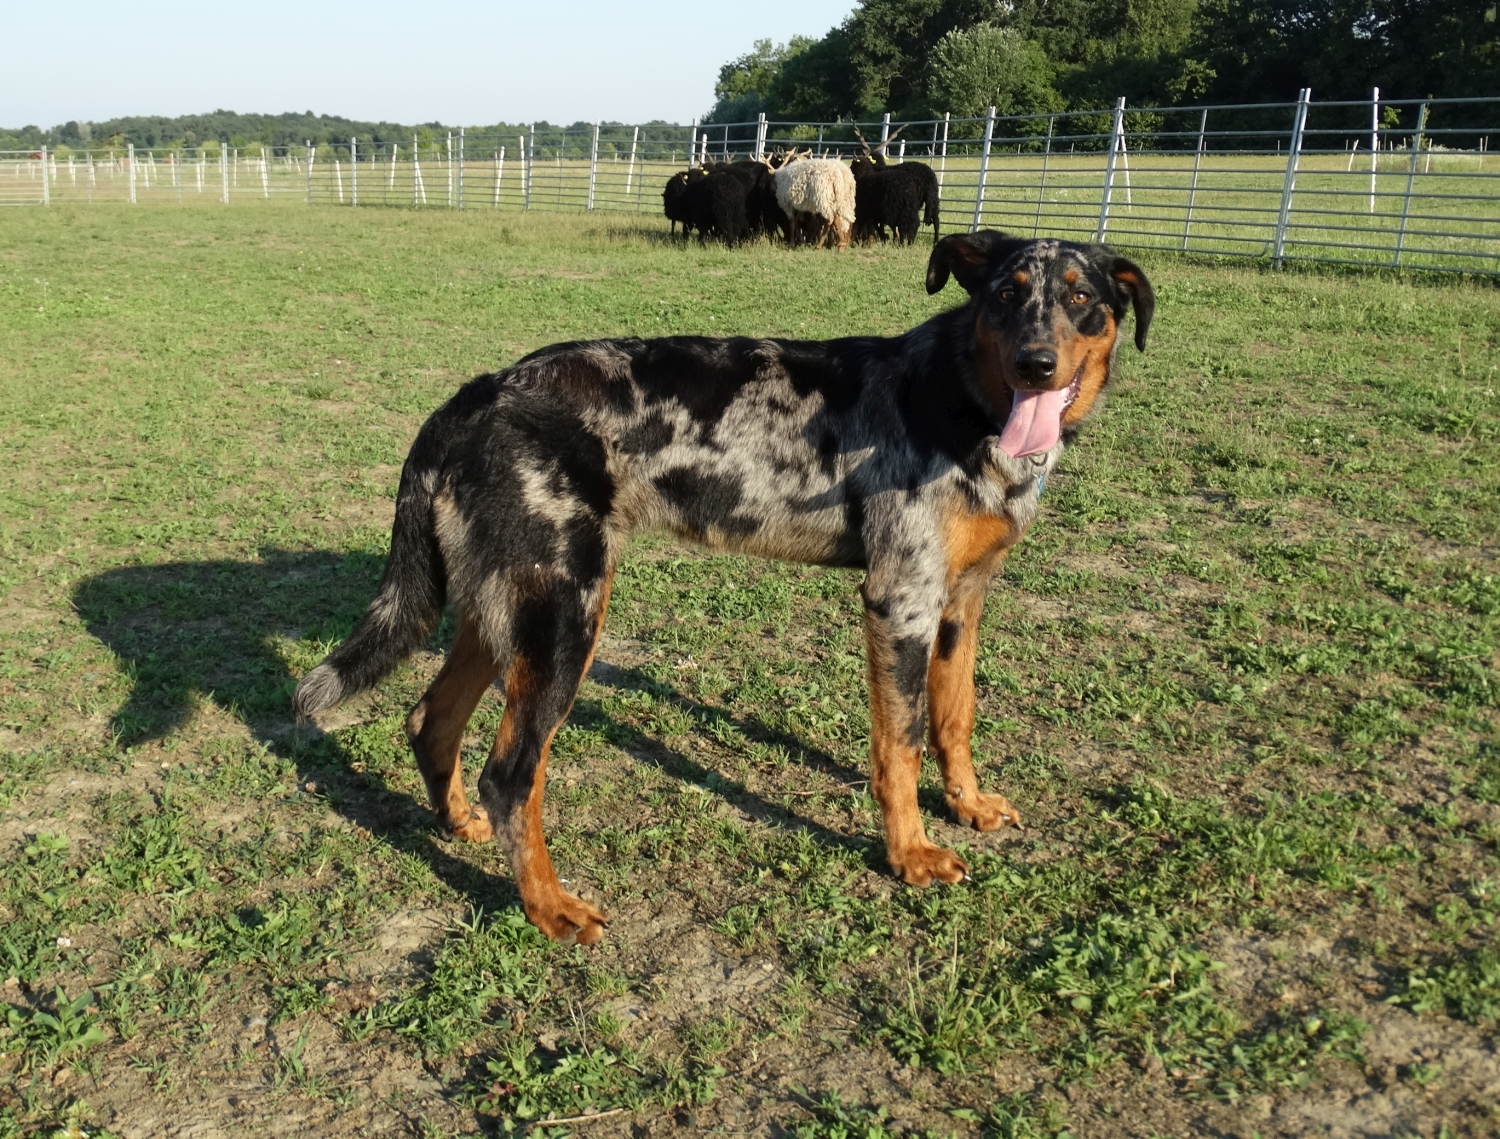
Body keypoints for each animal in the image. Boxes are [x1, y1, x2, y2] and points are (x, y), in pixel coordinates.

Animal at [295, 229, 1158, 942]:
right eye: (1007, 295)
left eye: (1081, 298)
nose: (1036, 363)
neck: (959, 394)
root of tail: (476, 393)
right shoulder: (901, 598)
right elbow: (901, 743)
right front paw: (909, 851)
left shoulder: (963, 601)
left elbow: (954, 716)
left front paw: (968, 803)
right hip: (566, 615)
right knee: (511, 775)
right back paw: (548, 906)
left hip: (505, 608)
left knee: (430, 720)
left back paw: (458, 824)